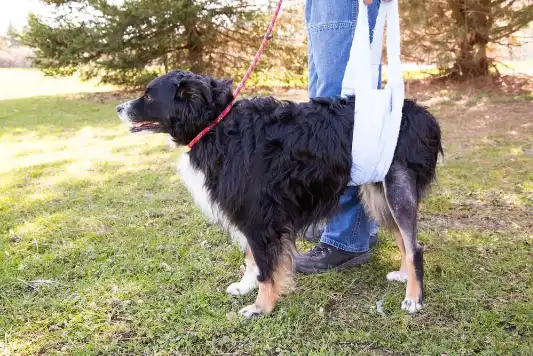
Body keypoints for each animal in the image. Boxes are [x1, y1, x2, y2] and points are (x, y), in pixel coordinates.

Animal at [117, 69, 444, 318]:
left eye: (149, 95)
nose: (119, 108)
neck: (217, 126)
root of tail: (420, 113)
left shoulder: (259, 217)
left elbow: (265, 267)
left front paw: (260, 307)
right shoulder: (250, 214)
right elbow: (251, 258)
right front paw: (245, 286)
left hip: (396, 188)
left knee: (414, 247)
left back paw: (413, 298)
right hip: (378, 192)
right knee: (403, 240)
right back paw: (403, 275)